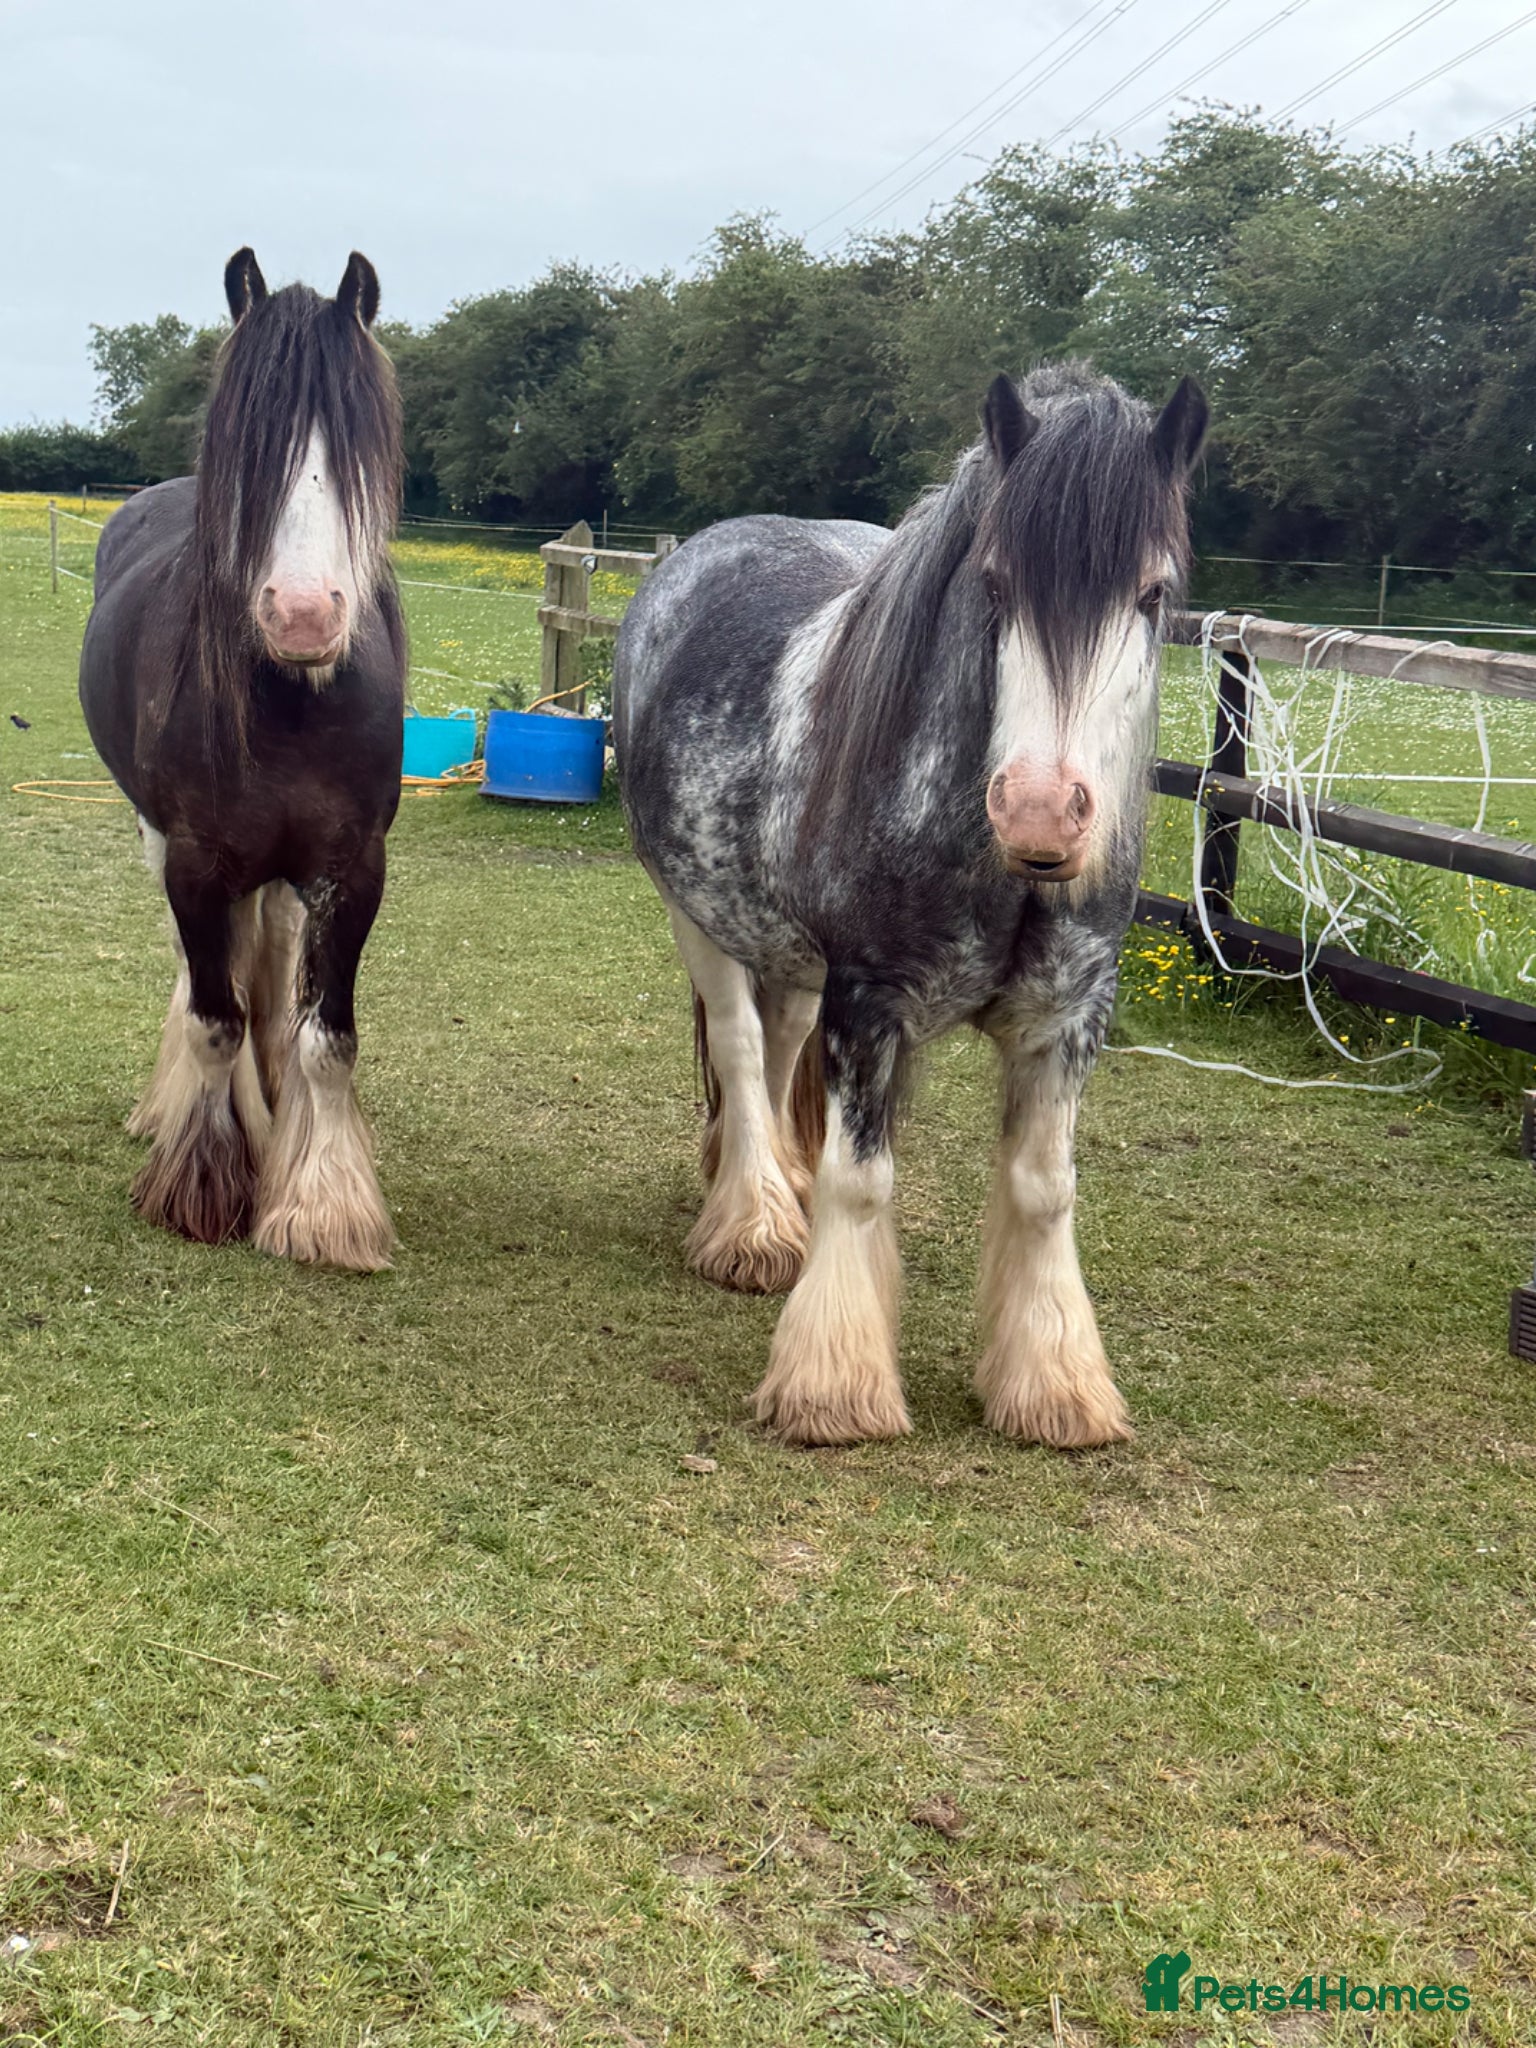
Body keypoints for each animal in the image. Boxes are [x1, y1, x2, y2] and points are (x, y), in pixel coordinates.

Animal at [79, 248, 407, 1270]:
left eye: (358, 445)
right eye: (247, 448)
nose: (300, 616)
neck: (294, 703)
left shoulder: (352, 869)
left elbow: (325, 1037)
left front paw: (323, 1208)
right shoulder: (194, 862)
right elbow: (215, 1019)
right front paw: (205, 1183)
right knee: (207, 982)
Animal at [613, 361, 1207, 1448]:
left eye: (1151, 595)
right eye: (996, 584)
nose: (1040, 812)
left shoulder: (1068, 1019)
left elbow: (1043, 1188)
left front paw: (1054, 1384)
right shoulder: (872, 1001)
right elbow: (863, 1177)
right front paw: (833, 1386)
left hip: (790, 949)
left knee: (781, 1037)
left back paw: (778, 1191)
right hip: (699, 915)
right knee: (743, 1047)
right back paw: (754, 1221)